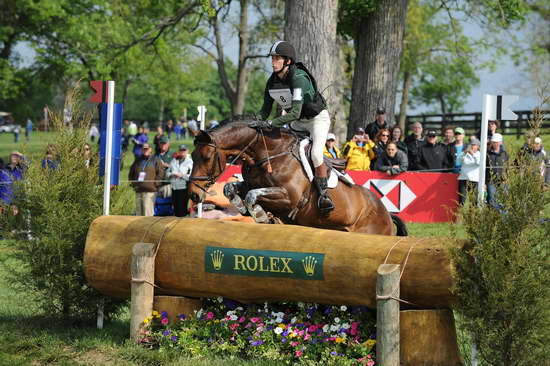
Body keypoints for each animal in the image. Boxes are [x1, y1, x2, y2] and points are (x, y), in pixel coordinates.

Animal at [188, 118, 408, 236]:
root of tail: (386, 213)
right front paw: (246, 210)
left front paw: (261, 215)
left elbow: (252, 195)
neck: (267, 153)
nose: (193, 195)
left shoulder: (290, 199)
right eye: (191, 156)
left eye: (206, 157)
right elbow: (230, 188)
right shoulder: (249, 184)